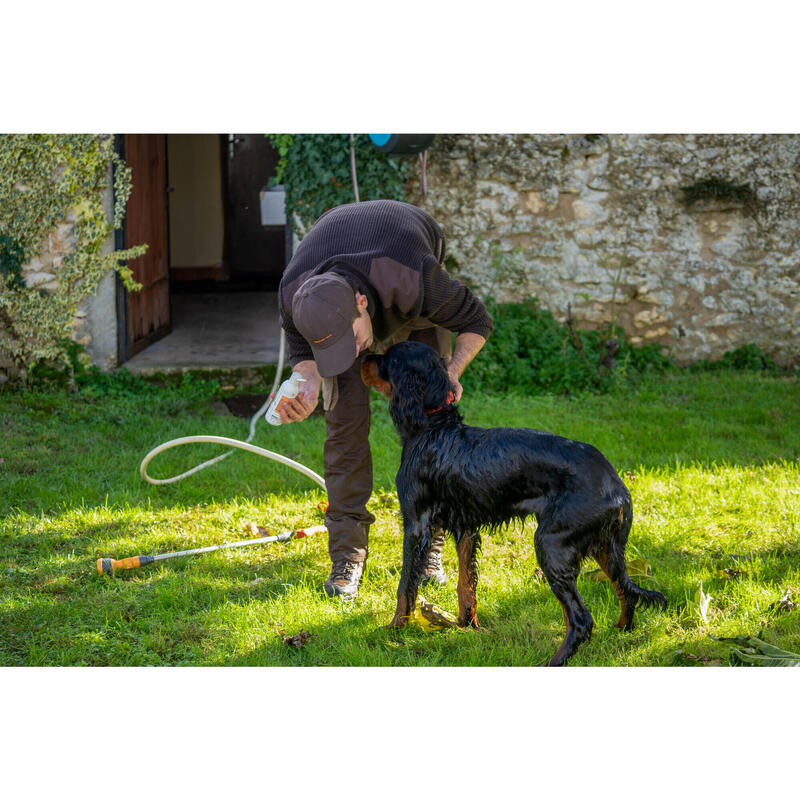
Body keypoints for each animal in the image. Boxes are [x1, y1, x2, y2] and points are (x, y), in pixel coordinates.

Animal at [362, 340, 664, 664]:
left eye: (388, 358)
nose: (363, 355)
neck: (433, 427)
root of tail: (616, 485)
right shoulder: (466, 527)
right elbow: (465, 583)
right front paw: (466, 625)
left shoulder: (416, 525)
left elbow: (406, 585)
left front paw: (394, 629)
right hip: (607, 547)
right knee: (626, 591)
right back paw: (622, 631)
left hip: (552, 545)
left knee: (581, 618)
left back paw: (555, 660)